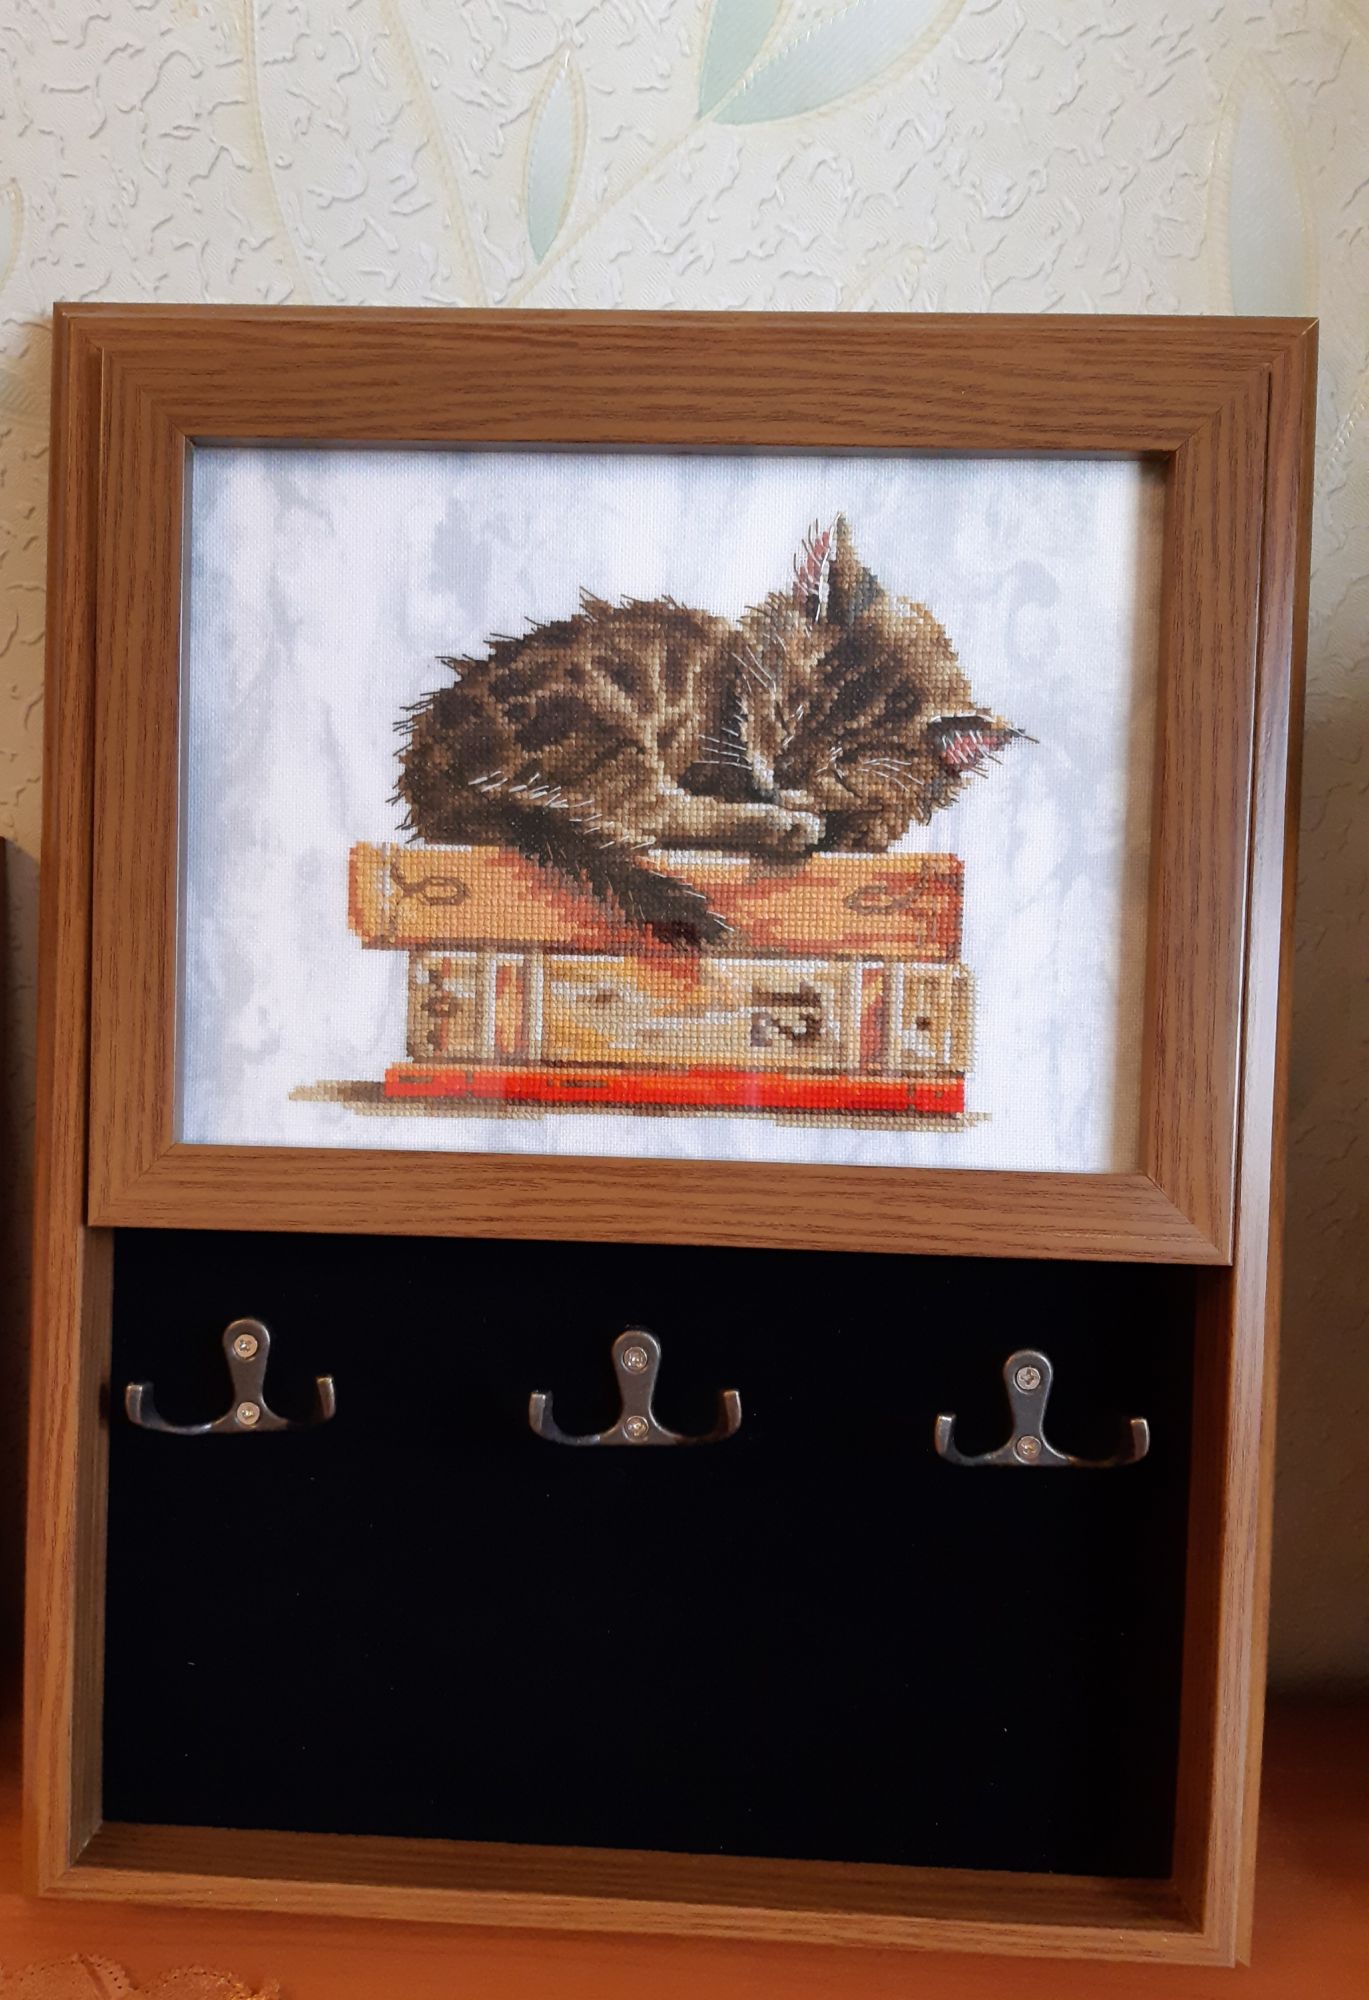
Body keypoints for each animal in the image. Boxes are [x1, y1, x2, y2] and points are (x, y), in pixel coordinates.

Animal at [395, 516, 1027, 947]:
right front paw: (810, 821)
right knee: (640, 811)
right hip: (593, 715)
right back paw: (782, 826)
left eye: (842, 765)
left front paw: (861, 826)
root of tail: (427, 759)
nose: (784, 772)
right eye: (786, 711)